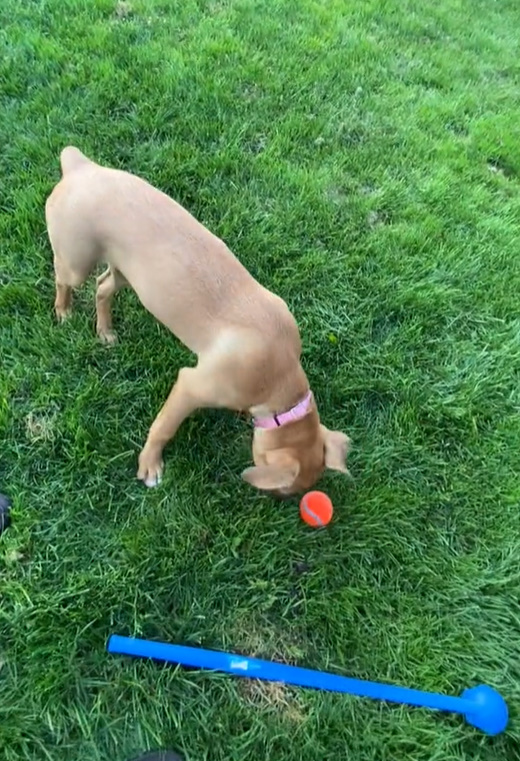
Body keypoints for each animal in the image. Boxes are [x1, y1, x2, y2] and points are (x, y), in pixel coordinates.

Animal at [44, 146, 352, 496]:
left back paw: (105, 331)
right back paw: (64, 311)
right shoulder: (190, 387)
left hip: (127, 273)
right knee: (63, 279)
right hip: (75, 261)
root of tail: (81, 167)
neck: (281, 377)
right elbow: (163, 426)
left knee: (102, 287)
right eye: (283, 491)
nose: (279, 501)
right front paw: (150, 464)